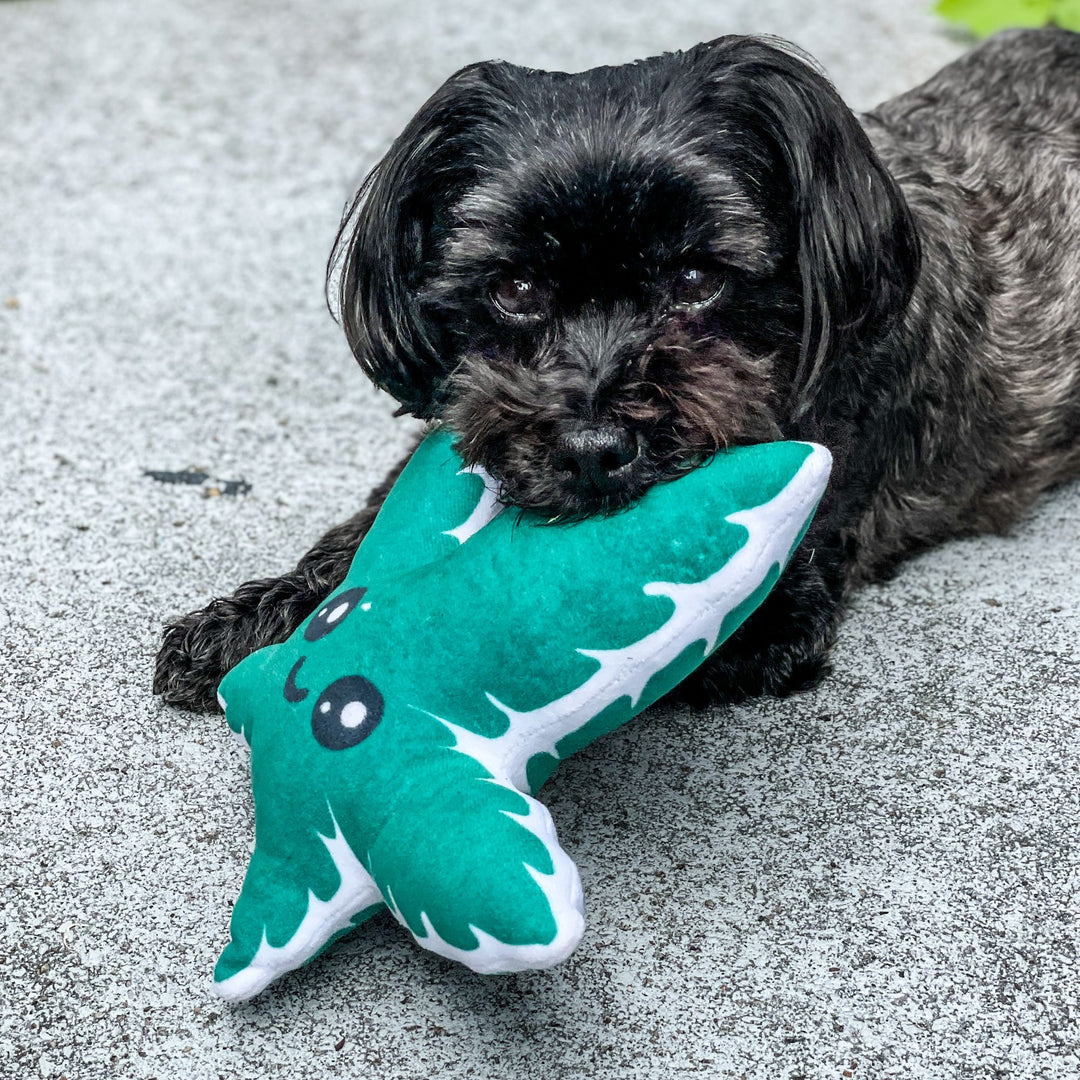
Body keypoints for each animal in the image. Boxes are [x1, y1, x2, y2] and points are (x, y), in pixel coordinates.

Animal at [150, 29, 1080, 712]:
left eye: (698, 279)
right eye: (515, 288)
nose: (595, 450)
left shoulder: (776, 601)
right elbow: (367, 530)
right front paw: (256, 613)